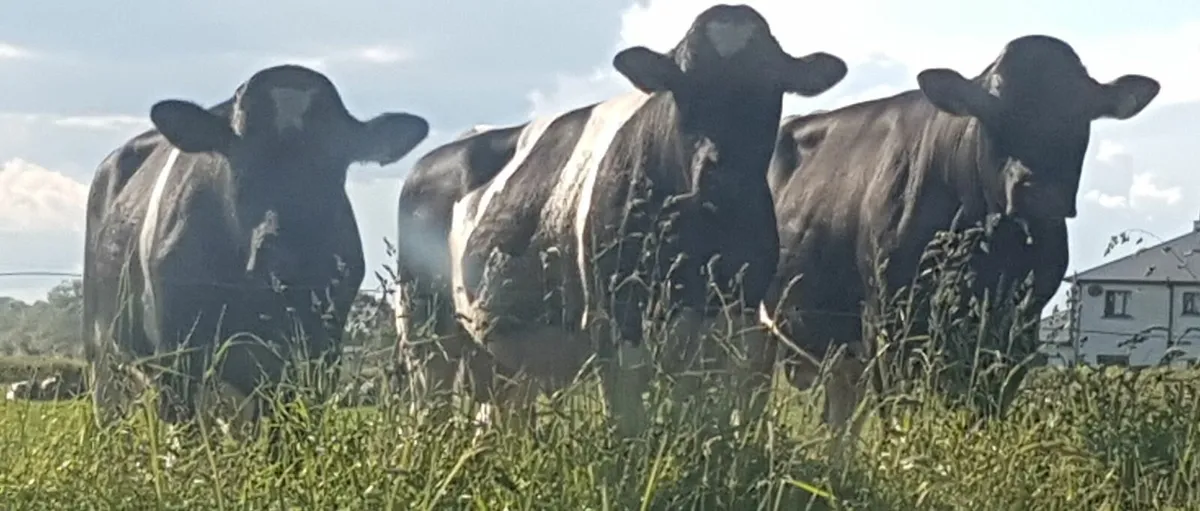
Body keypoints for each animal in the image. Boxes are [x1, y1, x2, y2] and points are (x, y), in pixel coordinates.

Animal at [82, 64, 430, 435]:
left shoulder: (318, 353)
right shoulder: (177, 354)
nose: (288, 257)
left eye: (336, 164)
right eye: (239, 162)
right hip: (103, 356)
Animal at [394, 4, 847, 437]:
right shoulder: (616, 325)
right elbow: (630, 426)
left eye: (771, 85)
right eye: (682, 86)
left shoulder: (734, 331)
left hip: (501, 349)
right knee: (428, 407)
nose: (723, 172)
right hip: (424, 329)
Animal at [760, 35, 1160, 444]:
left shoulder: (1017, 330)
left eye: (1082, 112)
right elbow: (897, 407)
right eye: (992, 110)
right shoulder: (888, 321)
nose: (1040, 192)